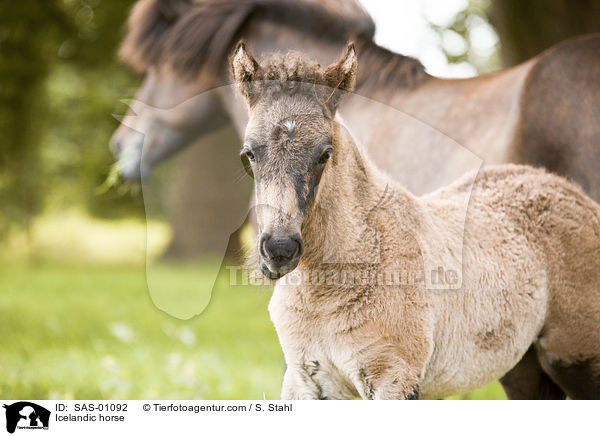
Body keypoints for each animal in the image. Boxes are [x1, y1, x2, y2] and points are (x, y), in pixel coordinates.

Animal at [231, 43, 600, 398]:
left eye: (325, 153)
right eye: (249, 153)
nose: (279, 249)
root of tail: (570, 192)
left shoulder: (395, 378)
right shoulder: (306, 381)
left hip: (578, 359)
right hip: (522, 366)